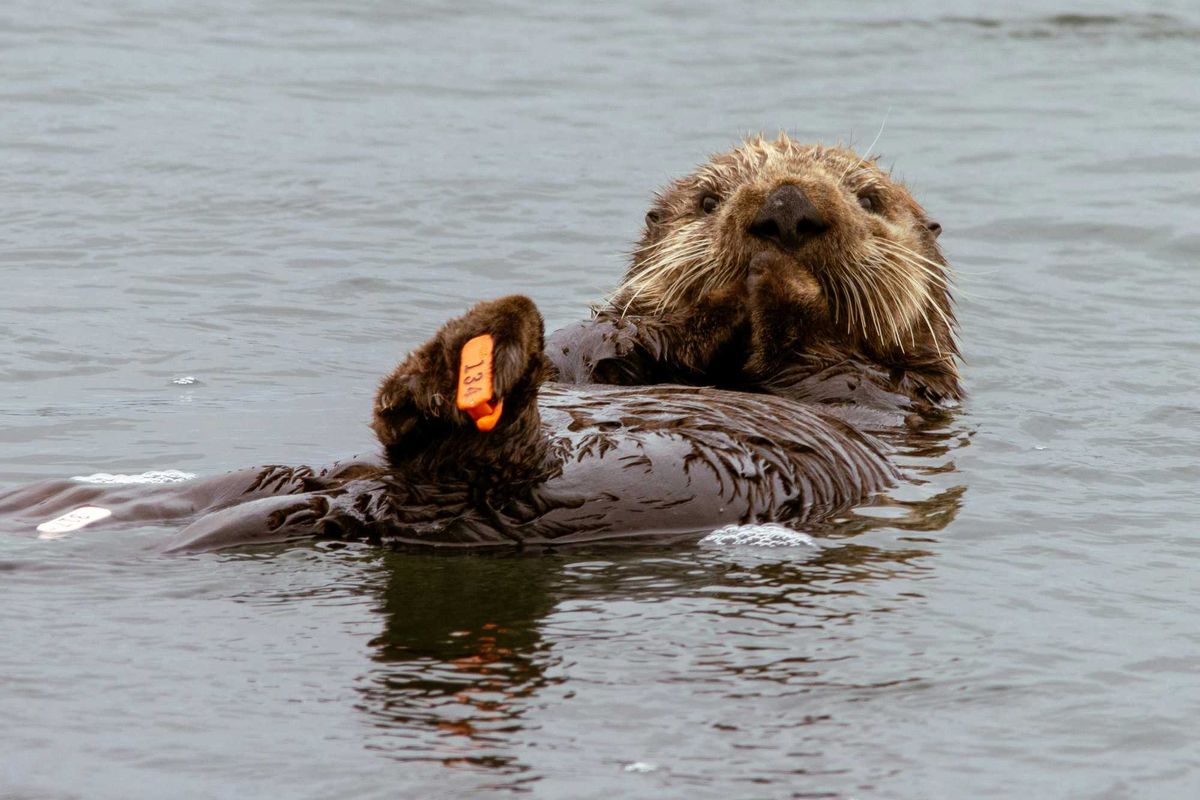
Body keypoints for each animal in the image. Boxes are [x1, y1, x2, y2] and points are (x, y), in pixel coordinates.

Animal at [0, 137, 958, 552]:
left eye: (869, 198)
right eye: (707, 198)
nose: (787, 207)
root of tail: (364, 502)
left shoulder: (893, 392)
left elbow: (833, 365)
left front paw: (779, 288)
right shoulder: (604, 346)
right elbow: (595, 341)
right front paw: (724, 294)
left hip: (518, 492)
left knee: (459, 460)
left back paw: (469, 364)